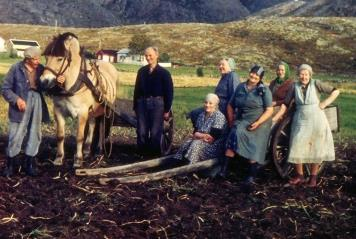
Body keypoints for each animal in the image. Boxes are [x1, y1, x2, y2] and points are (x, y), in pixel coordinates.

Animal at [40, 32, 118, 168]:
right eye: (46, 57)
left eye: (60, 58)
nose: (44, 81)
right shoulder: (58, 111)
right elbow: (60, 135)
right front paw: (59, 158)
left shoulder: (82, 112)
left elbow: (79, 136)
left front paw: (77, 160)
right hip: (93, 109)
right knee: (92, 124)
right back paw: (86, 149)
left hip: (105, 109)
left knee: (101, 127)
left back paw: (99, 150)